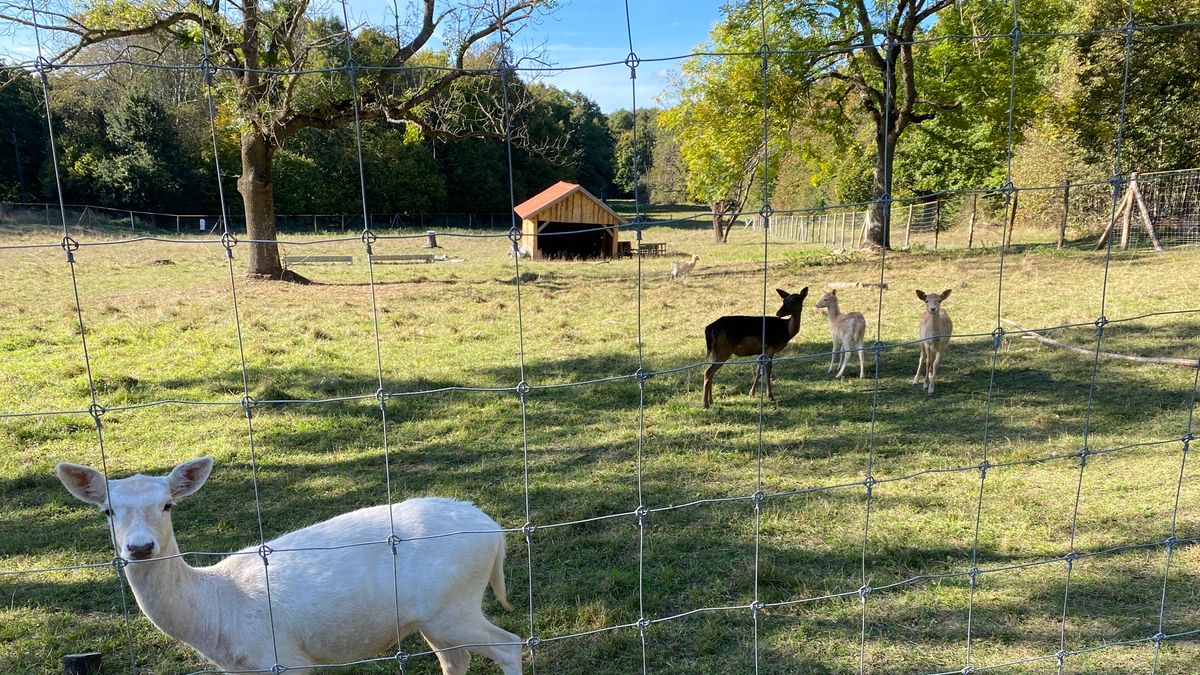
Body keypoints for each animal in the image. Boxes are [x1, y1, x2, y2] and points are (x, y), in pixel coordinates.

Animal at [55, 456, 520, 672]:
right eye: (107, 511)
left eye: (167, 504)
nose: (139, 547)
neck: (216, 615)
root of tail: (495, 531)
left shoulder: (283, 659)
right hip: (435, 617)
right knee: (456, 660)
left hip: (454, 606)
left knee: (510, 645)